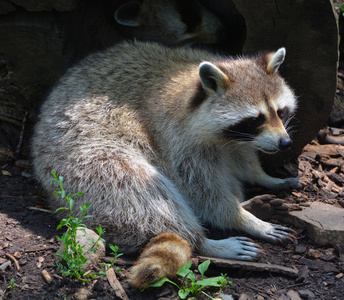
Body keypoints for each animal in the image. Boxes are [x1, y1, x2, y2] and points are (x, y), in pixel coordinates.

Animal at [33, 41, 300, 290]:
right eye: (255, 119)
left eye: (280, 112)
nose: (285, 143)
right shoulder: (176, 140)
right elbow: (201, 190)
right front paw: (242, 219)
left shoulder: (237, 141)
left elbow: (244, 158)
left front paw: (263, 177)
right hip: (82, 167)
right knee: (138, 193)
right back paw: (204, 241)